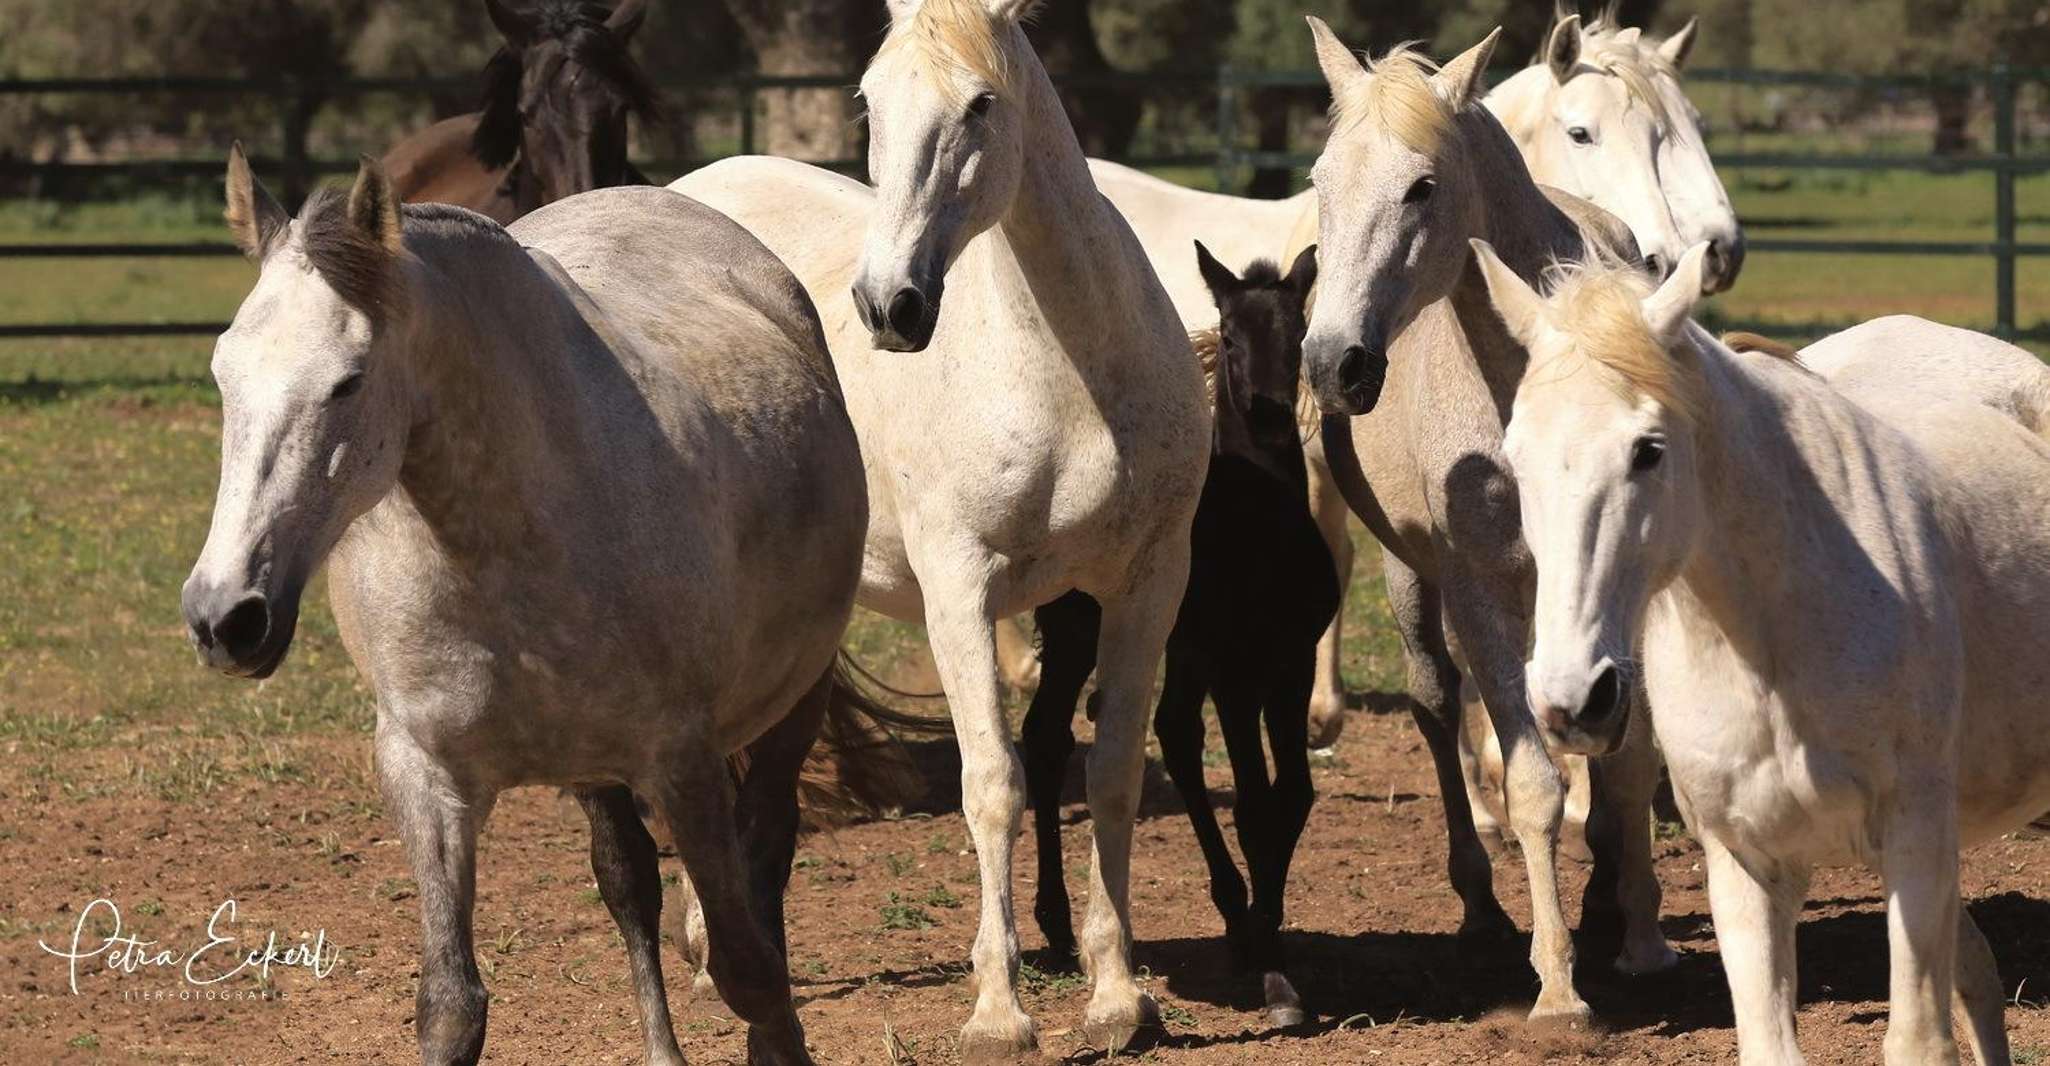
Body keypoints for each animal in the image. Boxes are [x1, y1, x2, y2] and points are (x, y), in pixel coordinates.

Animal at [183, 148, 870, 1066]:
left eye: (347, 383)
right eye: (223, 373)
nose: (226, 617)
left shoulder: (683, 764)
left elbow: (748, 971)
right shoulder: (425, 775)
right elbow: (453, 1007)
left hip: (790, 703)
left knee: (765, 854)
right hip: (594, 768)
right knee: (630, 884)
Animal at [669, 0, 1210, 1054]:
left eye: (981, 104)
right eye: (870, 100)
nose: (890, 306)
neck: (1068, 374)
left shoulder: (1149, 582)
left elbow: (1115, 773)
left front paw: (1118, 996)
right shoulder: (961, 590)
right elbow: (993, 782)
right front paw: (999, 1012)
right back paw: (712, 952)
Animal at [1022, 243, 1334, 1026]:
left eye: (1298, 333)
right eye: (1229, 336)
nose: (1269, 411)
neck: (1264, 528)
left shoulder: (1289, 662)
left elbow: (1294, 796)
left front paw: (1264, 934)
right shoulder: (1237, 672)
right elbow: (1254, 805)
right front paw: (1277, 982)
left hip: (1177, 646)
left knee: (1170, 732)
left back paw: (1228, 914)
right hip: (1079, 629)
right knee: (1046, 737)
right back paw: (1056, 920)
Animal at [1294, 21, 1674, 1022]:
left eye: (1422, 186)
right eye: (1320, 180)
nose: (1333, 362)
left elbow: (1628, 760)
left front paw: (1639, 932)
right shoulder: (1480, 594)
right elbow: (1535, 780)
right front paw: (1559, 989)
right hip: (1413, 586)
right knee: (1437, 708)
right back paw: (1484, 911)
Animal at [1480, 241, 2050, 1065]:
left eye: (1648, 450)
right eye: (1515, 458)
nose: (1573, 701)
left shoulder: (1915, 841)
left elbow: (1919, 1041)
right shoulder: (1747, 863)